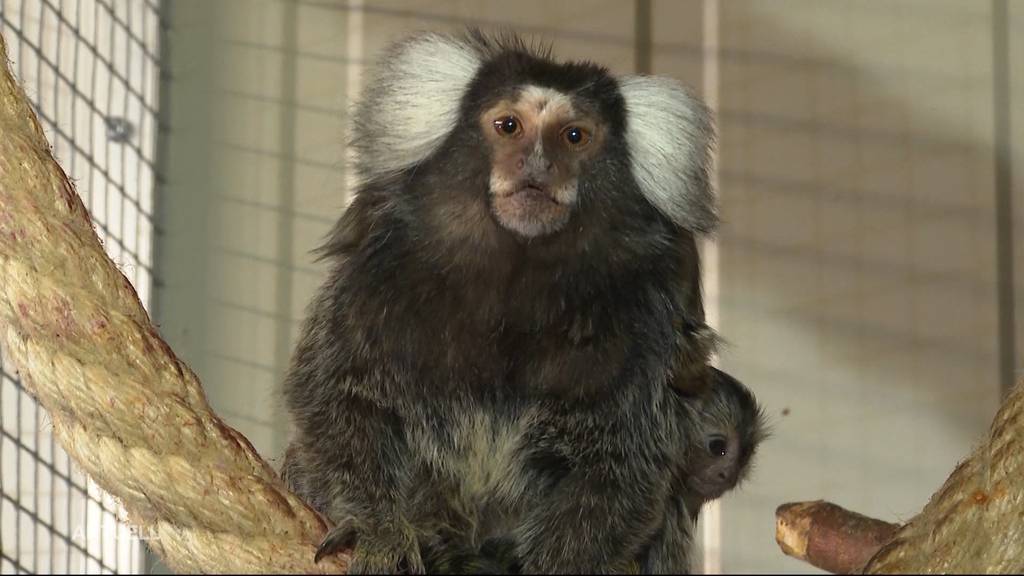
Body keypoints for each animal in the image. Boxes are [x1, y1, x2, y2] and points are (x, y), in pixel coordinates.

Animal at [276, 31, 716, 573]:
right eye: (509, 126)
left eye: (574, 136)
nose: (538, 166)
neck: (516, 280)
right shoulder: (374, 278)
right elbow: (335, 399)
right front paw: (378, 528)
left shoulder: (646, 320)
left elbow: (622, 466)